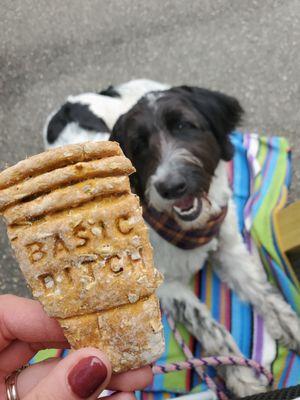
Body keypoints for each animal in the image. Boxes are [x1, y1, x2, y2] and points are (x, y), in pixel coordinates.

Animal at [43, 81, 300, 396]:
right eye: (138, 144)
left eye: (184, 125)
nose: (171, 186)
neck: (188, 230)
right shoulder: (168, 286)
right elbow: (210, 328)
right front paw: (243, 377)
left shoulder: (228, 247)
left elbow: (263, 291)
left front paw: (290, 326)